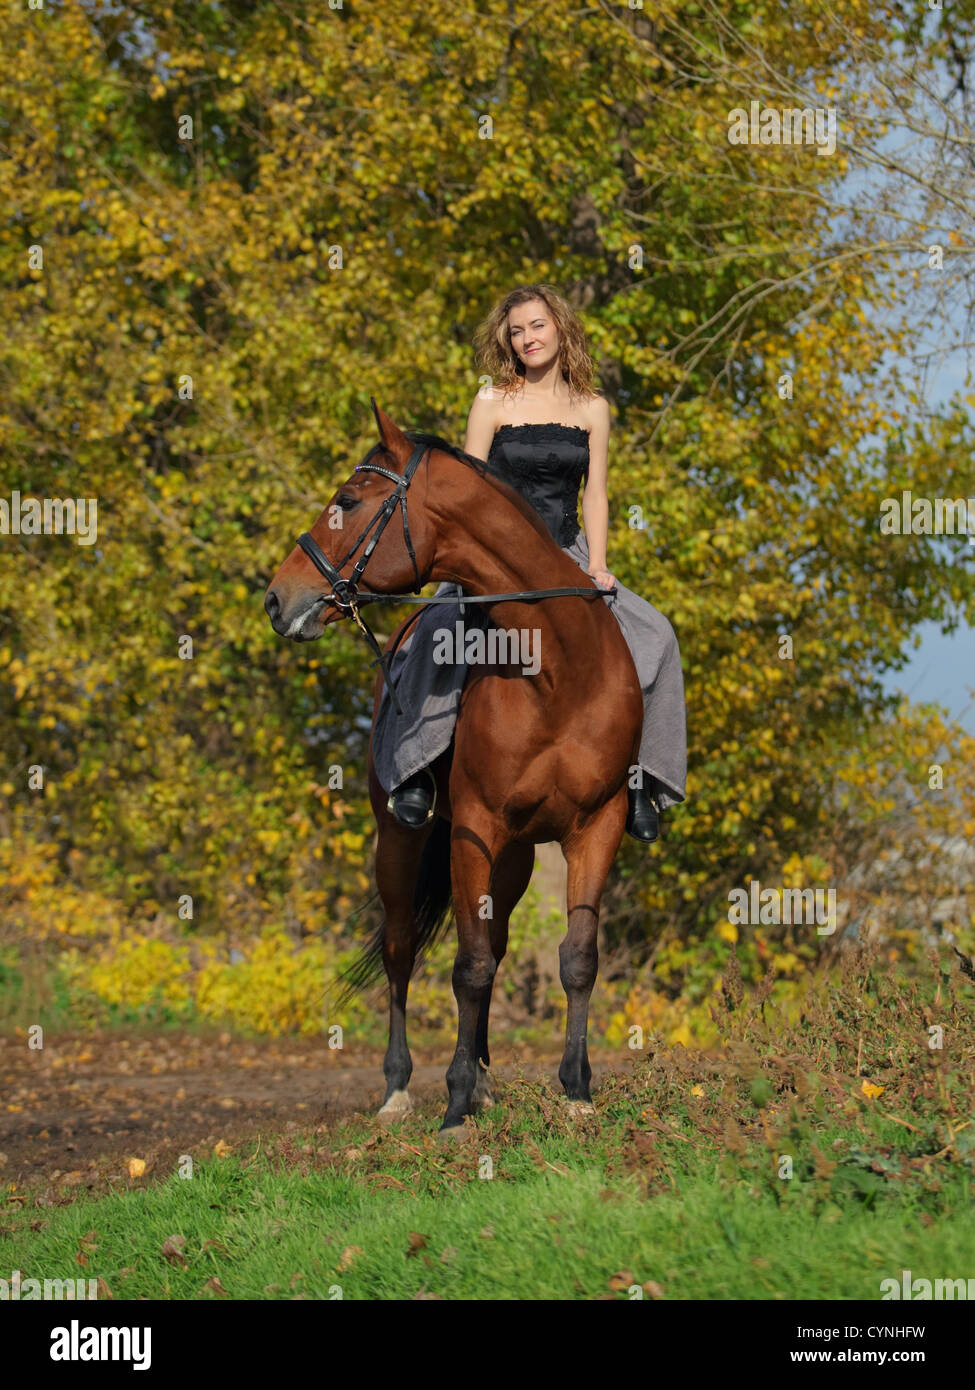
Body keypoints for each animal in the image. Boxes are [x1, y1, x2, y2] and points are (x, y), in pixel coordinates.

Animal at [265, 403, 642, 1139]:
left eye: (346, 501)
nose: (275, 598)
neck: (557, 668)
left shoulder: (597, 827)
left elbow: (574, 959)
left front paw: (576, 1091)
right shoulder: (473, 826)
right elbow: (466, 967)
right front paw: (456, 1104)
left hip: (517, 857)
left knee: (493, 944)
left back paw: (489, 1080)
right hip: (400, 838)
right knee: (401, 949)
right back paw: (399, 1090)